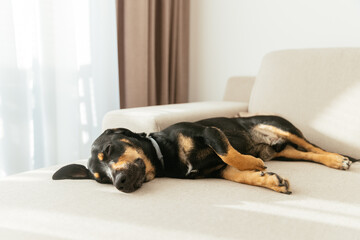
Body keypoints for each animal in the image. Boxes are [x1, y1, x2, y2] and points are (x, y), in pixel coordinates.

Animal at [52, 115, 358, 194]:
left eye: (108, 149)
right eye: (101, 179)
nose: (119, 183)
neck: (165, 155)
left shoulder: (209, 133)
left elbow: (229, 154)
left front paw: (253, 163)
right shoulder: (218, 171)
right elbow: (238, 174)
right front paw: (268, 179)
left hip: (281, 127)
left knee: (316, 148)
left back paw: (337, 159)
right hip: (287, 152)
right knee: (306, 155)